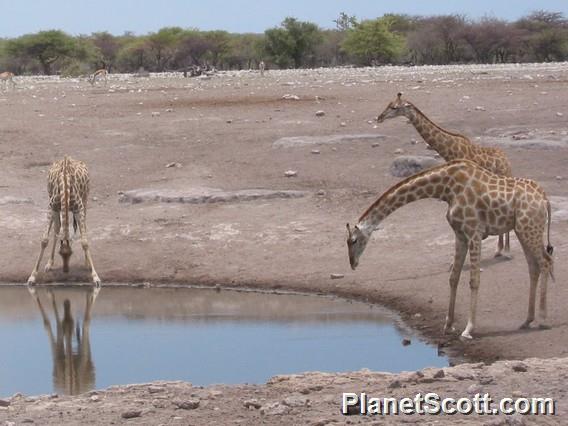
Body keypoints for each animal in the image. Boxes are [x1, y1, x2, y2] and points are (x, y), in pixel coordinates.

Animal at [27, 156, 101, 286]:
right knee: (57, 229)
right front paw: (32, 276)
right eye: (60, 253)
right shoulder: (51, 207)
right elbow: (45, 240)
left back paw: (87, 263)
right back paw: (49, 264)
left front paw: (95, 276)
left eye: (71, 253)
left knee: (83, 228)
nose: (66, 270)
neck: (65, 185)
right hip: (53, 201)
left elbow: (84, 241)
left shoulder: (79, 208)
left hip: (85, 199)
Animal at [346, 160, 556, 340]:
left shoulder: (474, 232)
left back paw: (543, 319)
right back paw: (527, 320)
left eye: (353, 241)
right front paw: (448, 325)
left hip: (529, 228)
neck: (446, 189)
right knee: (534, 267)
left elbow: (474, 280)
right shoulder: (460, 234)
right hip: (522, 230)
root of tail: (545, 199)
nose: (353, 264)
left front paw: (468, 329)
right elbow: (453, 277)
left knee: (546, 261)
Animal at [378, 93, 516, 256]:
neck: (450, 151)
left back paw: (505, 249)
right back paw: (500, 249)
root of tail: (507, 160)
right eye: (388, 104)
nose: (379, 117)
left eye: (394, 107)